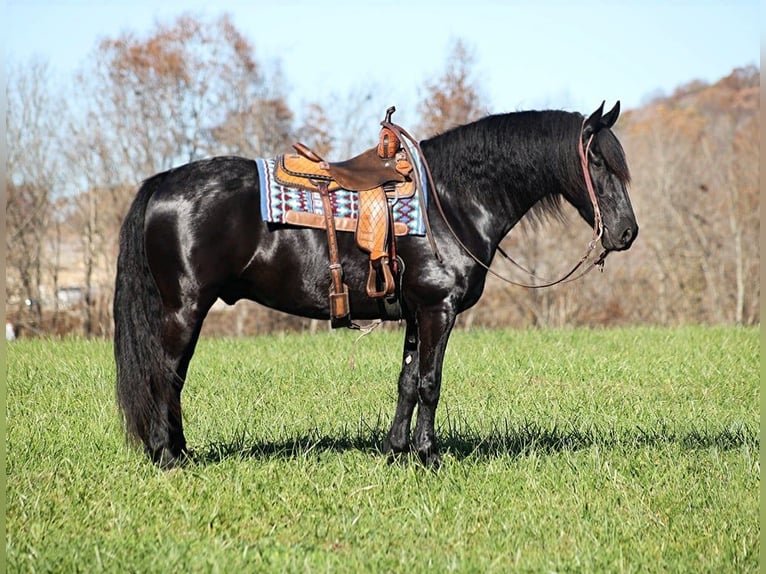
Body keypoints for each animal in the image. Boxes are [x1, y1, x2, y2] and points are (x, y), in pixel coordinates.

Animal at [114, 101, 638, 468]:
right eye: (598, 162)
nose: (627, 233)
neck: (450, 200)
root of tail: (162, 182)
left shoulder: (416, 312)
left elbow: (406, 382)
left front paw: (395, 451)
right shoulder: (438, 309)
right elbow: (430, 383)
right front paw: (429, 456)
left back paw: (178, 451)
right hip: (185, 308)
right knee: (166, 374)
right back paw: (168, 456)